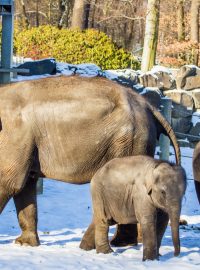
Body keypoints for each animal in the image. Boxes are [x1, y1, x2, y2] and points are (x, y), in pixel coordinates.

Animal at [0, 75, 180, 247]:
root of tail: (149, 106)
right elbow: (24, 186)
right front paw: (25, 243)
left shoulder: (16, 135)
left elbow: (9, 183)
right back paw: (121, 242)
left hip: (128, 142)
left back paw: (114, 243)